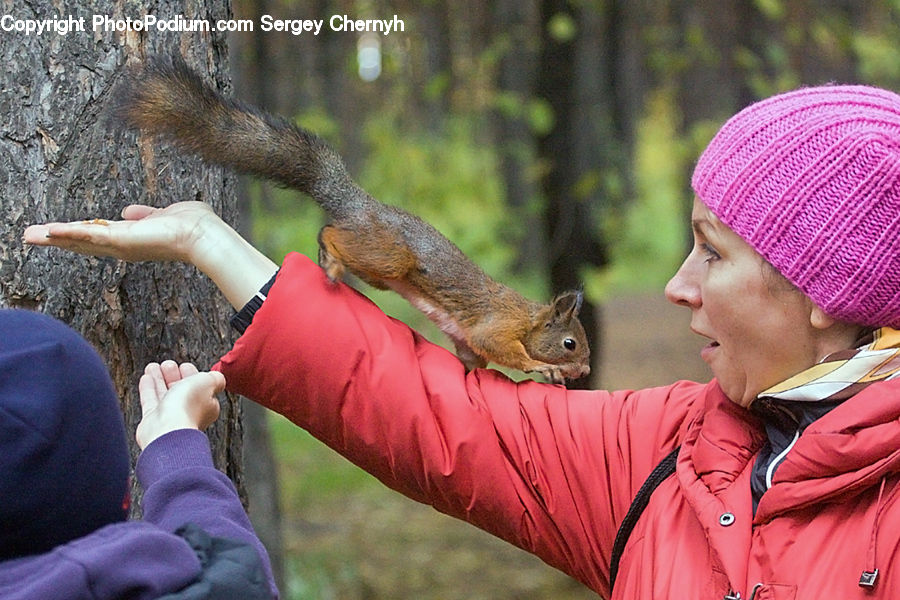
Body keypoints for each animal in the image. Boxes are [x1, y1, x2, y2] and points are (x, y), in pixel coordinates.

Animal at [111, 56, 590, 383]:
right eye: (569, 343)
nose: (585, 371)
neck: (528, 318)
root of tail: (359, 204)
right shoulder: (498, 324)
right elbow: (499, 345)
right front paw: (540, 366)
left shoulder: (470, 341)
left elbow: (473, 358)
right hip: (387, 255)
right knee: (329, 232)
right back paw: (330, 258)